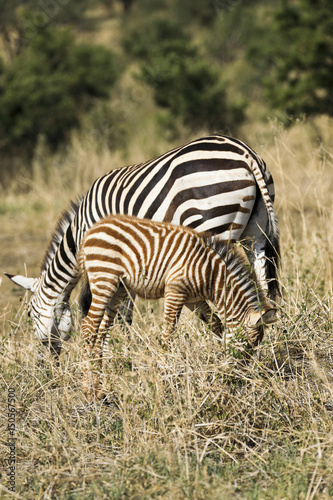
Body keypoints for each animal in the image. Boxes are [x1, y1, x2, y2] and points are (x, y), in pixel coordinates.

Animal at [5, 135, 280, 358]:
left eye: (30, 315)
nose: (45, 363)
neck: (80, 231)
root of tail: (245, 153)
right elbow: (121, 308)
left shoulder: (108, 255)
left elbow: (107, 308)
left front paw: (113, 352)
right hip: (256, 234)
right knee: (263, 284)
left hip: (211, 222)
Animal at [78, 214, 274, 398]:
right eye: (249, 345)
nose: (241, 376)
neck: (211, 275)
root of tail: (93, 229)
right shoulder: (175, 291)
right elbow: (168, 334)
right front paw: (162, 381)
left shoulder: (194, 300)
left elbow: (216, 324)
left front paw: (219, 361)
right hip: (105, 280)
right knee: (88, 327)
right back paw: (89, 392)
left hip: (118, 289)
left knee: (101, 330)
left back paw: (99, 387)